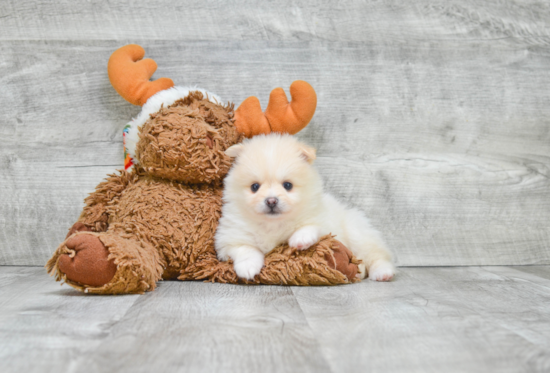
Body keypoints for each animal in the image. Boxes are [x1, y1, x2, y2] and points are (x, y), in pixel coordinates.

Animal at [216, 132, 396, 280]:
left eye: (287, 185)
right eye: (255, 187)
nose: (271, 201)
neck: (273, 224)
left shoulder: (324, 222)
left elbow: (311, 225)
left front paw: (300, 239)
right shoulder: (230, 237)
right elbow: (244, 249)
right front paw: (248, 267)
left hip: (357, 233)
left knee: (377, 255)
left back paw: (382, 272)